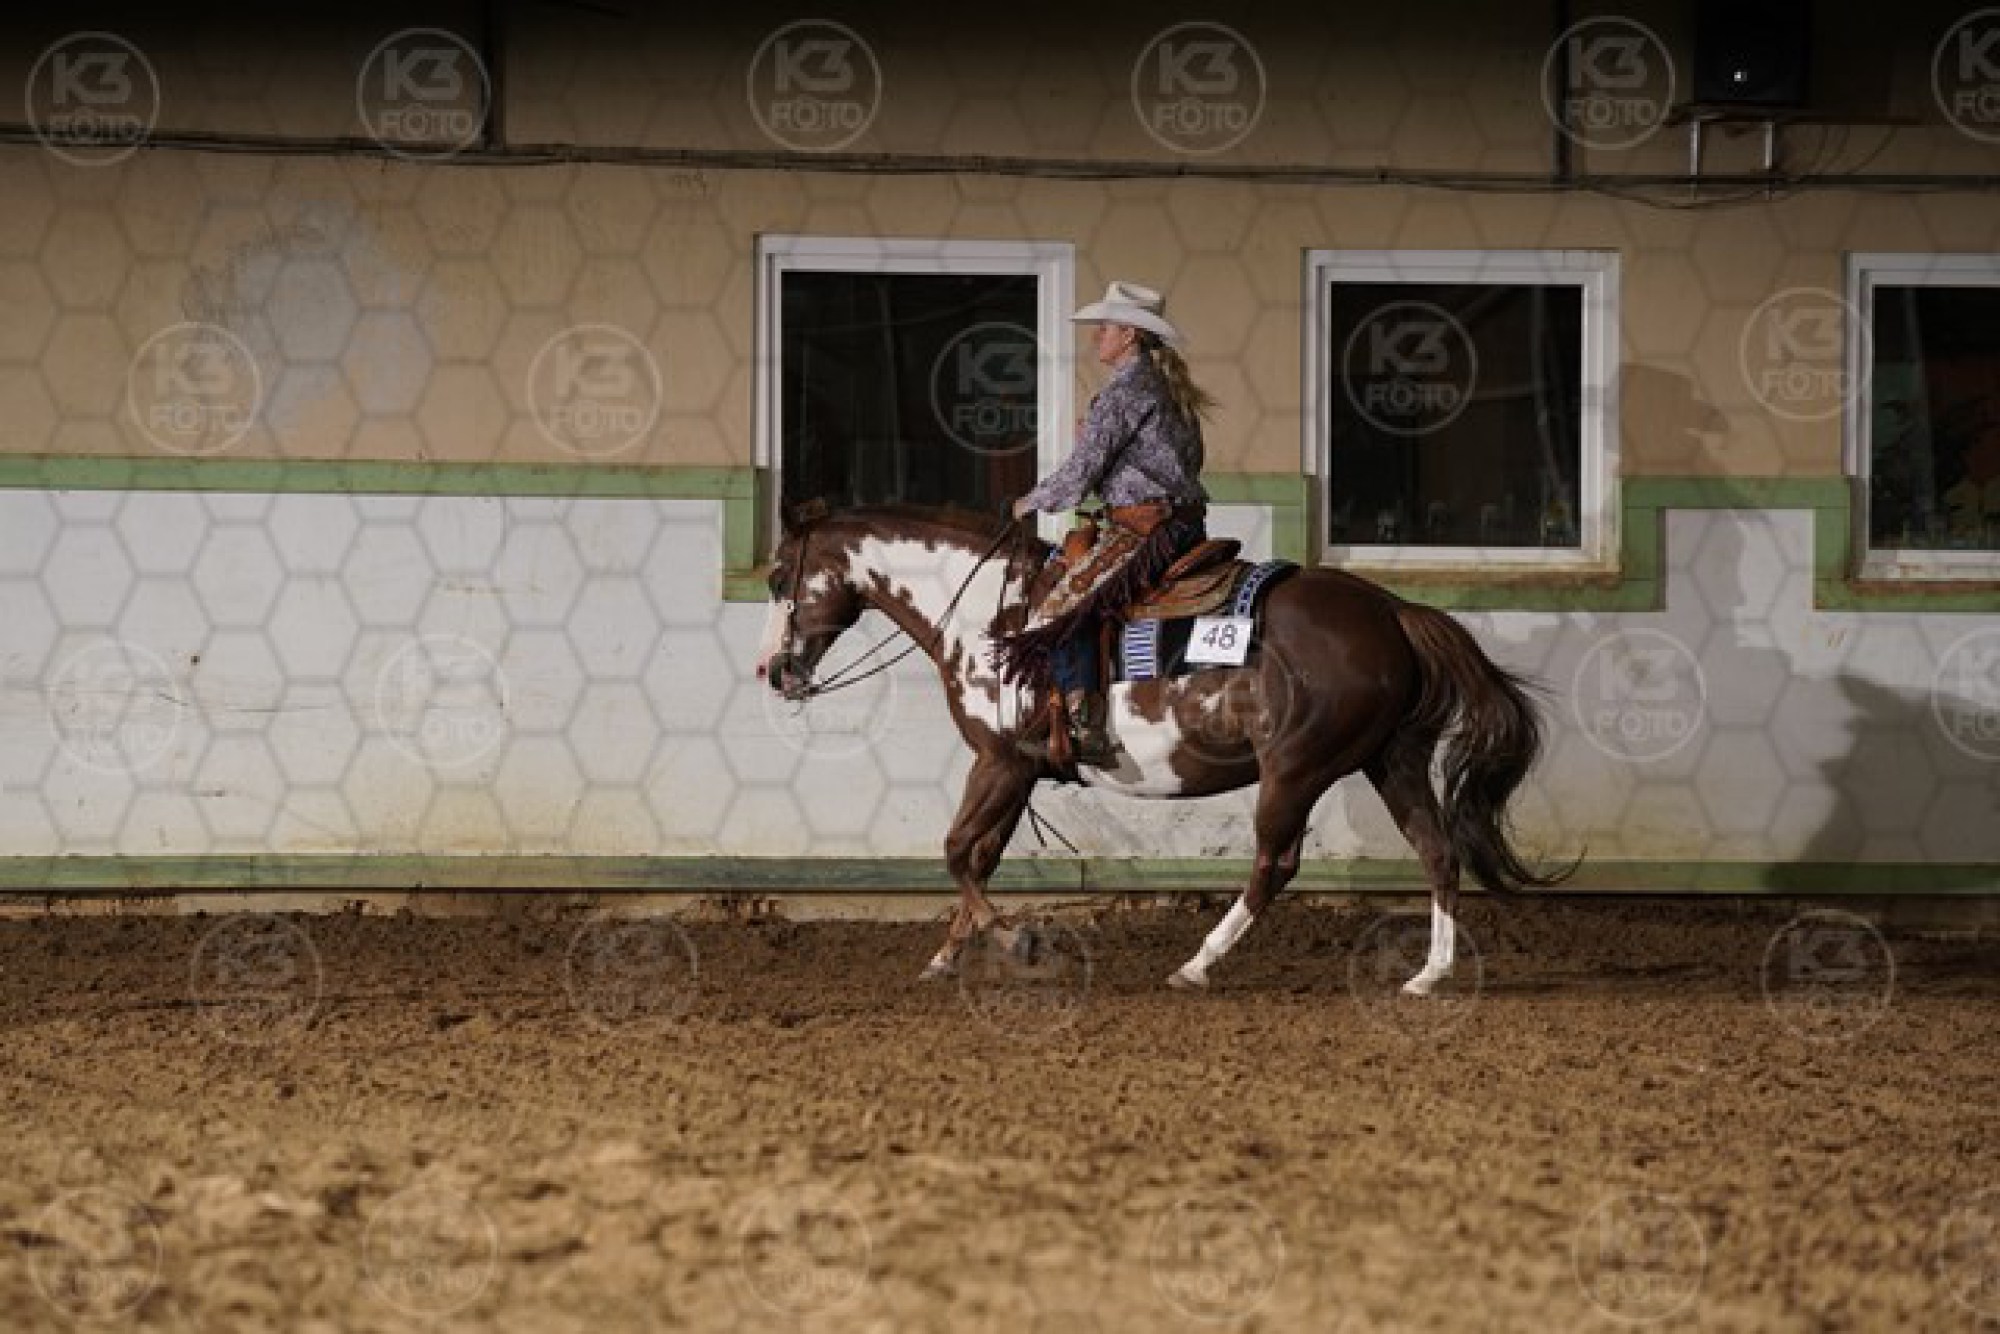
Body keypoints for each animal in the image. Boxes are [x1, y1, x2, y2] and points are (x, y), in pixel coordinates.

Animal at [754, 503, 1568, 994]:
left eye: (778, 576)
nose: (774, 672)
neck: (988, 615)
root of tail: (1392, 611)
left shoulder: (1001, 761)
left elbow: (956, 851)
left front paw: (1016, 944)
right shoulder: (1019, 771)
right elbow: (976, 857)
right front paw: (947, 956)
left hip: (1294, 769)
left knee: (1275, 864)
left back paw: (1197, 963)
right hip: (1391, 760)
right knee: (1437, 850)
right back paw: (1429, 974)